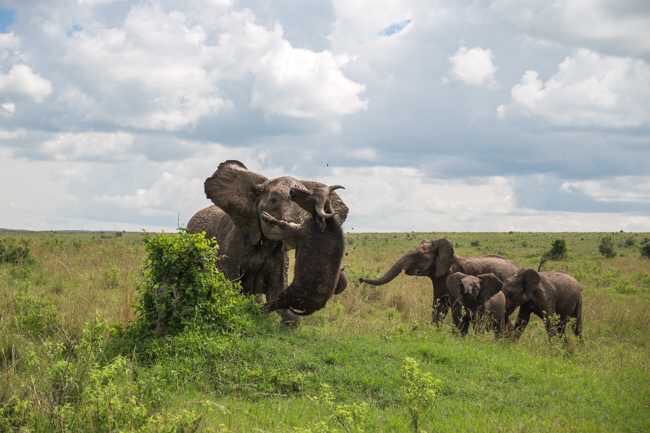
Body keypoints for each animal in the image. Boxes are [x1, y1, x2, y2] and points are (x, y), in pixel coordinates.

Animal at [186, 160, 346, 322]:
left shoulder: (280, 256)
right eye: (274, 200)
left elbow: (275, 292)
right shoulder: (231, 244)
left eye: (303, 209)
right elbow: (230, 288)